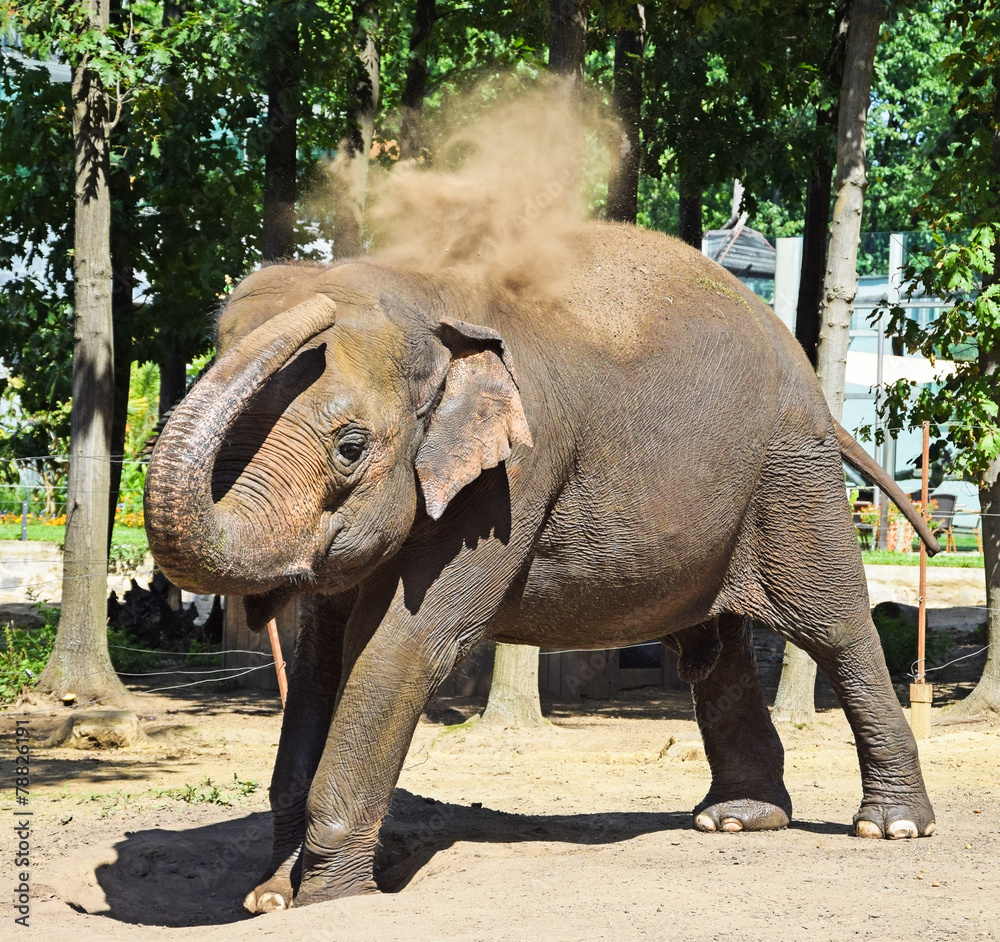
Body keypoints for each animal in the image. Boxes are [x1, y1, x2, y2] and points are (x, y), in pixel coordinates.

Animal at [144, 223, 938, 913]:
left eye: (350, 446)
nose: (311, 305)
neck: (429, 294)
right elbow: (321, 659)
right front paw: (269, 895)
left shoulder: (513, 476)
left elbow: (404, 647)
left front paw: (329, 900)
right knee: (712, 650)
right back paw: (737, 819)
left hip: (791, 471)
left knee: (835, 627)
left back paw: (890, 826)